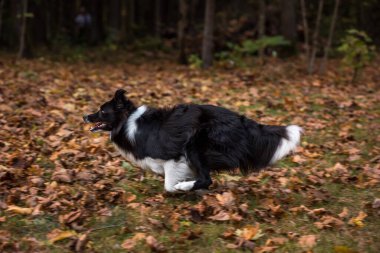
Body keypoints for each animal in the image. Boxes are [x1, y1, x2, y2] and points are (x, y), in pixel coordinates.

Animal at [84, 89, 302, 192]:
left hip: (195, 145)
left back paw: (186, 188)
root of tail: (241, 120)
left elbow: (168, 184)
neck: (127, 120)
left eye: (102, 111)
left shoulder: (173, 156)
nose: (85, 116)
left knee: (207, 179)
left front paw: (180, 187)